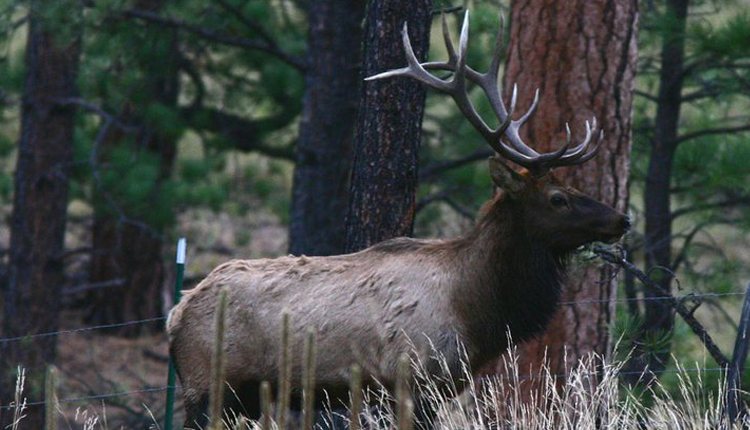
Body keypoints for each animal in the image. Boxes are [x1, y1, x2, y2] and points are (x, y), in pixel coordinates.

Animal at [167, 11, 632, 428]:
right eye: (558, 198)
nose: (623, 219)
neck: (476, 311)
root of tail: (175, 314)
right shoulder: (412, 377)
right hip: (207, 386)